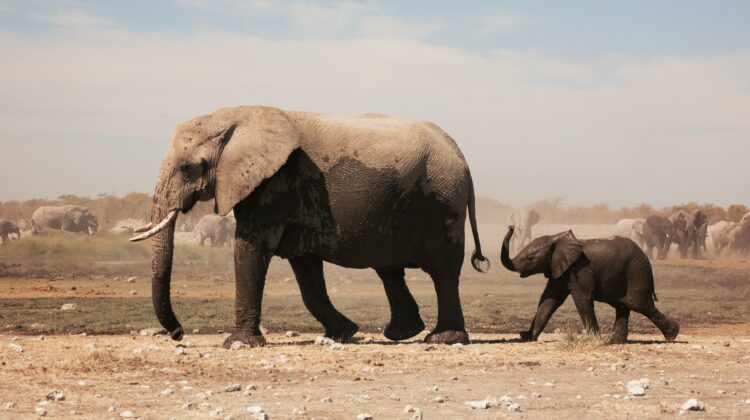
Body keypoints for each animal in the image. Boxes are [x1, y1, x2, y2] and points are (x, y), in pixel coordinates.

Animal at [130, 106, 489, 347]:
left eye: (187, 168)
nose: (178, 334)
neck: (234, 116)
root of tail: (460, 154)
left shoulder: (274, 184)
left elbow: (250, 249)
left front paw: (238, 344)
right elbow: (306, 273)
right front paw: (344, 333)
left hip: (442, 201)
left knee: (443, 271)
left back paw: (443, 339)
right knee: (389, 268)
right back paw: (402, 333)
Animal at [500, 226, 679, 344]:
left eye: (529, 259)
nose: (511, 226)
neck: (556, 239)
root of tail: (647, 259)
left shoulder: (579, 270)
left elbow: (582, 300)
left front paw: (594, 339)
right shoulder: (560, 269)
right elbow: (549, 300)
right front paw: (527, 337)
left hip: (636, 271)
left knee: (639, 303)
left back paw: (672, 335)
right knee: (624, 306)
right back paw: (614, 342)